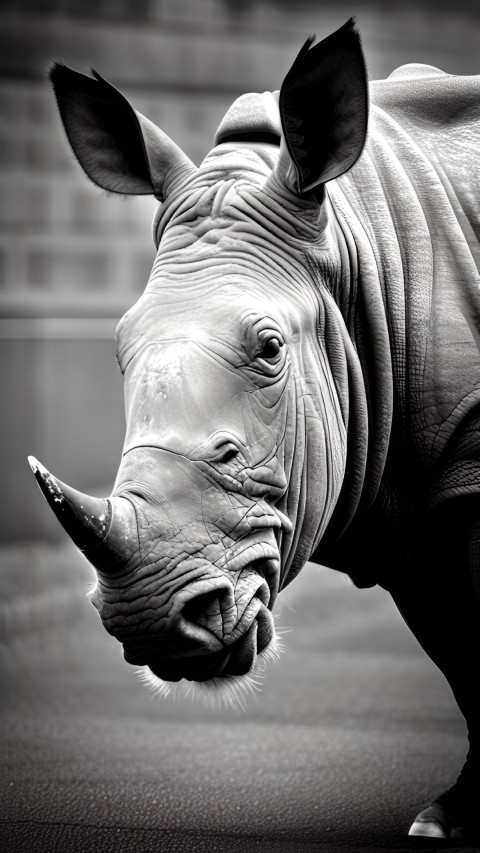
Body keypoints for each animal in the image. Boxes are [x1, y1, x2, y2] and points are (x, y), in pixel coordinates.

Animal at [29, 19, 480, 842]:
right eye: (118, 351)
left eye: (271, 349)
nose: (152, 618)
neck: (361, 256)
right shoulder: (415, 488)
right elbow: (462, 654)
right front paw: (447, 820)